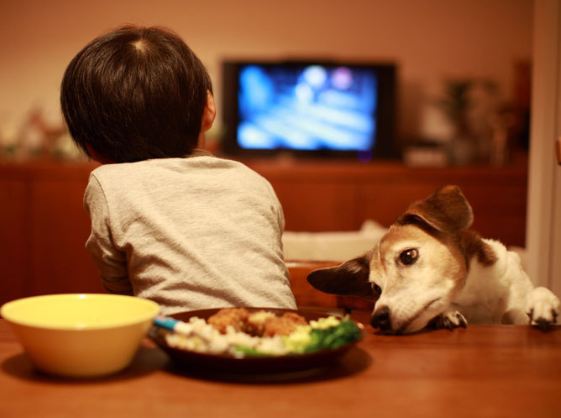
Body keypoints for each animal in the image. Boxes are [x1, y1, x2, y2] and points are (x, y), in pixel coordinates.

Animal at [308, 185, 556, 334]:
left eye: (408, 256)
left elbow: (531, 299)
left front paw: (544, 303)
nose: (377, 320)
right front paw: (446, 316)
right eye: (375, 288)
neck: (474, 296)